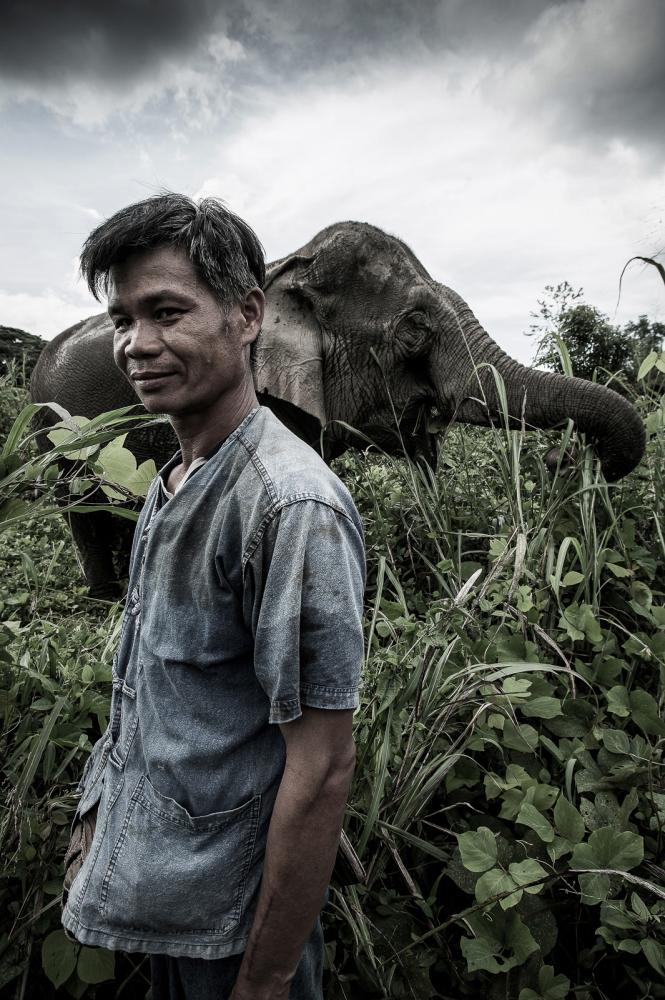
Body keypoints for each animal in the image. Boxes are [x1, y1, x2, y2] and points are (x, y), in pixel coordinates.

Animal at [30, 221, 646, 598]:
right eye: (415, 330)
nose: (563, 459)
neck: (291, 267)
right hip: (54, 439)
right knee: (80, 512)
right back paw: (104, 599)